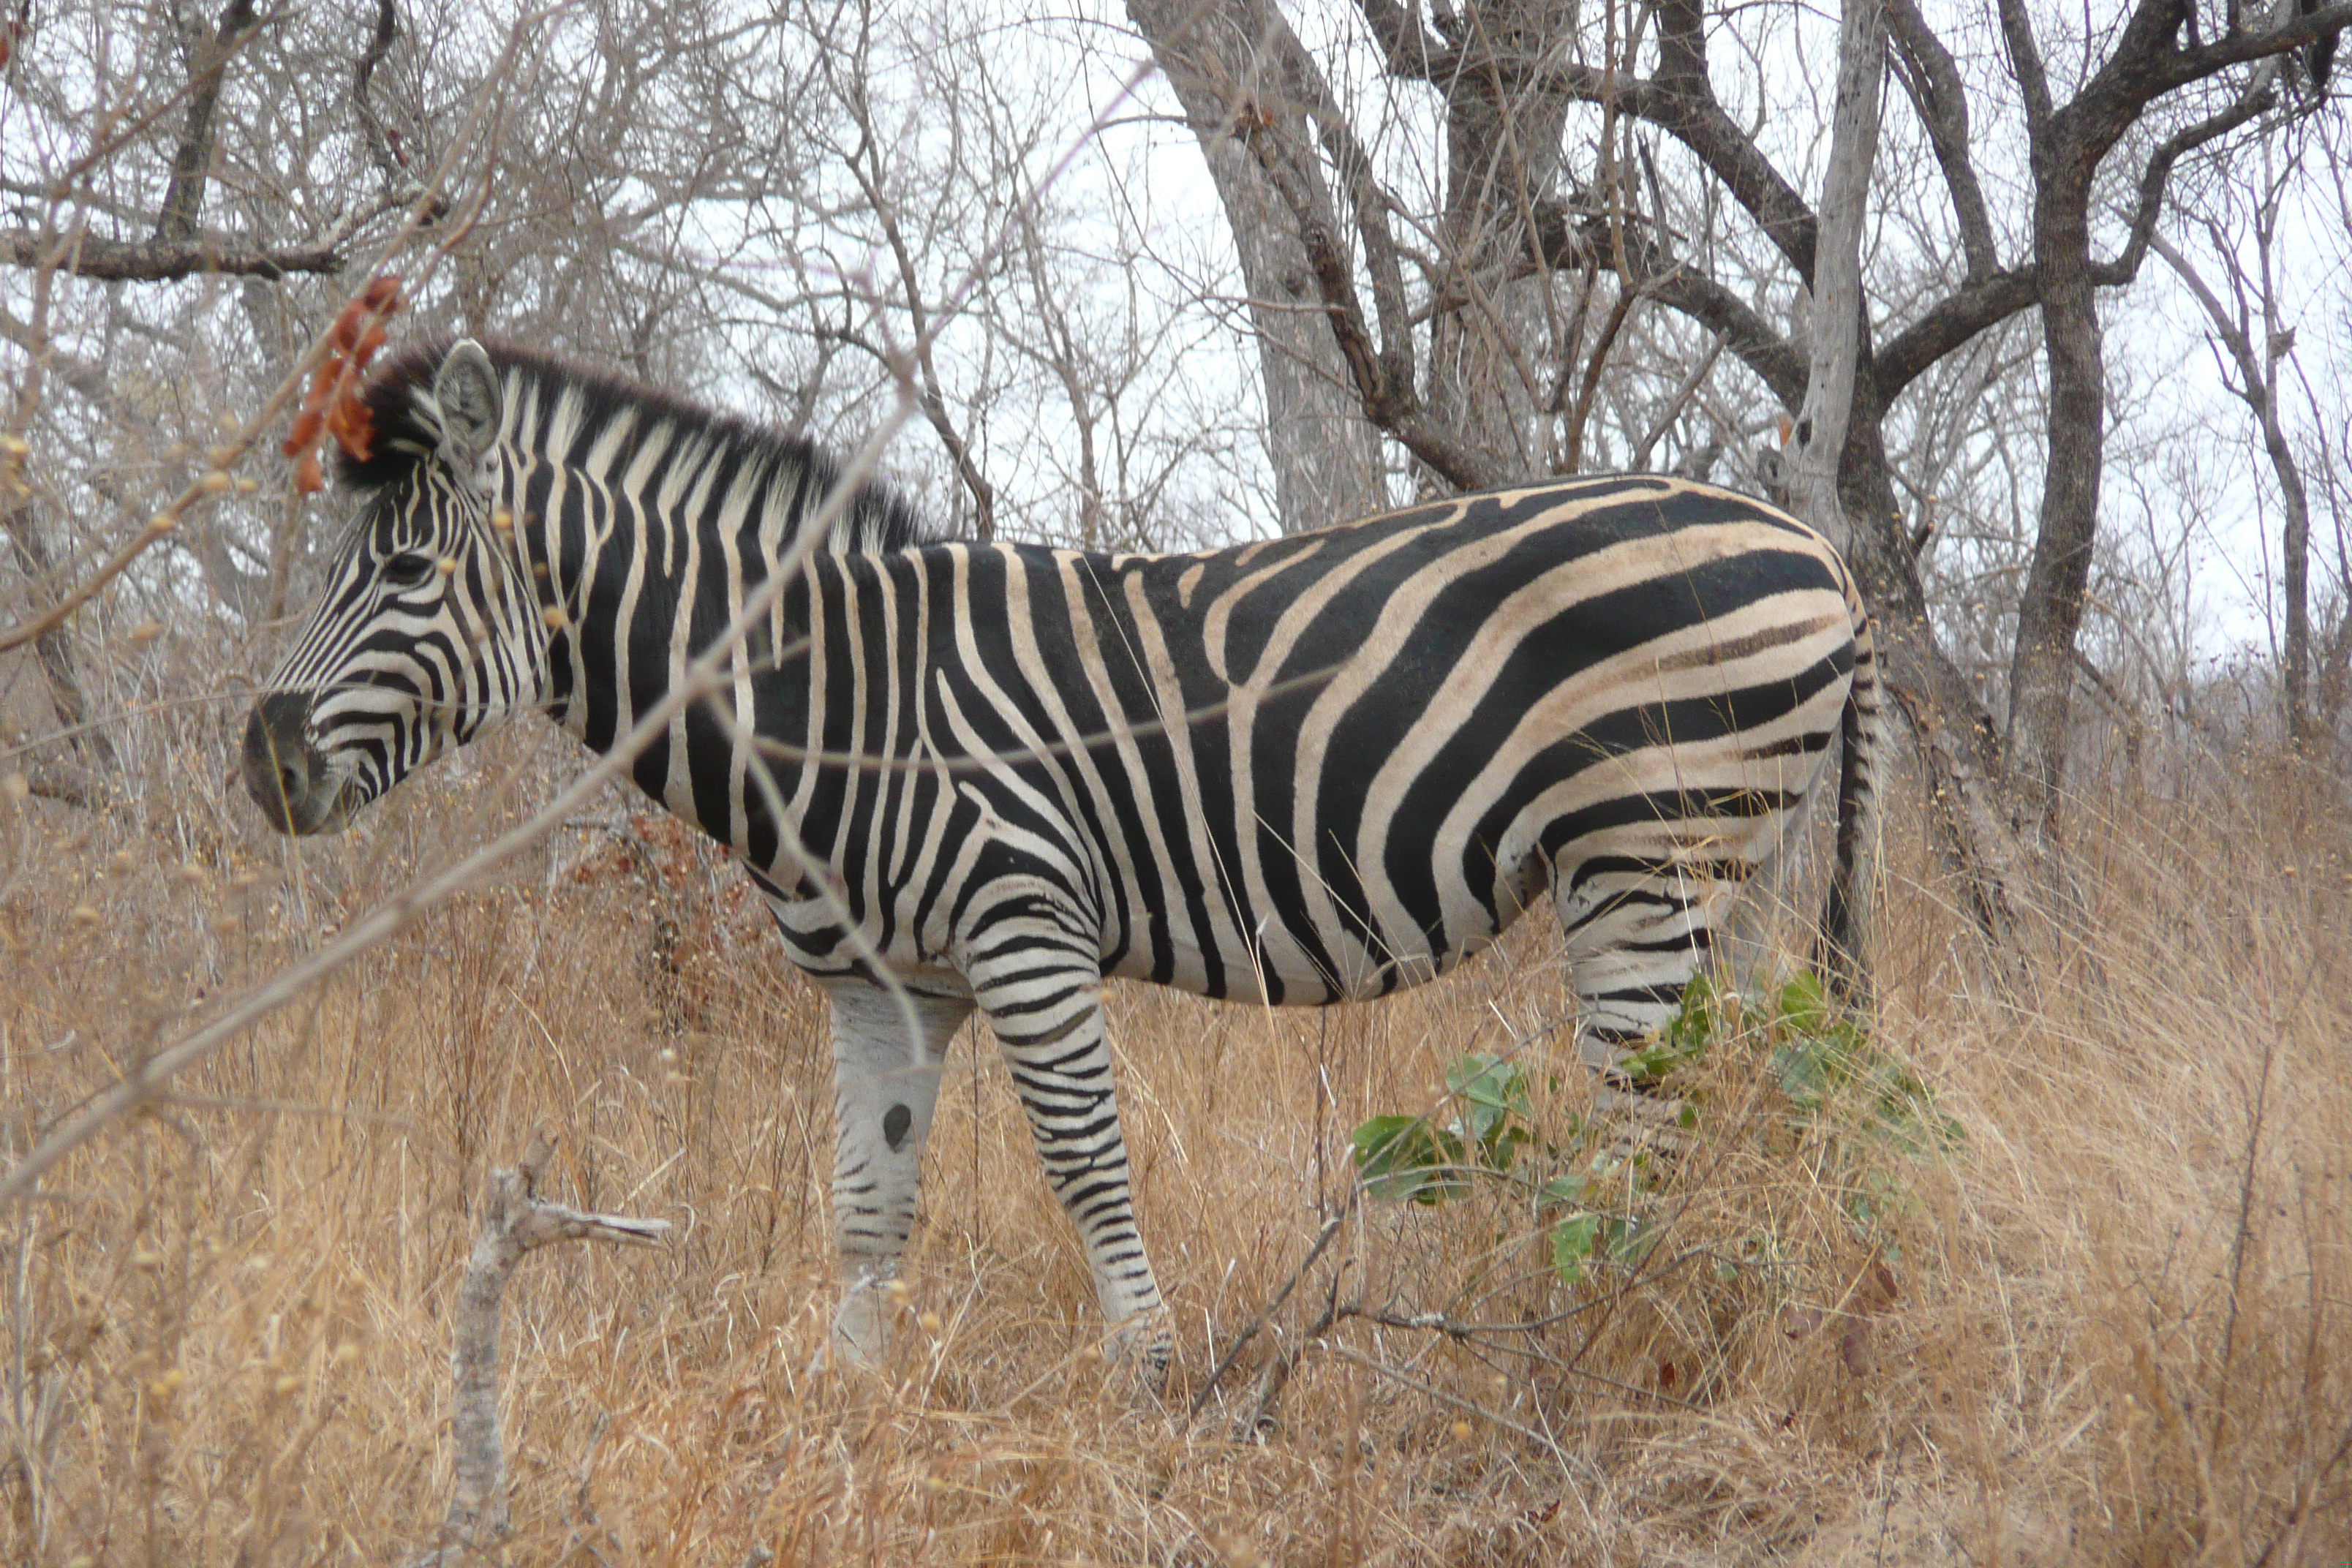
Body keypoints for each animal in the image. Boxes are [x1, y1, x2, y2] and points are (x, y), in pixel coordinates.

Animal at [248, 338, 1881, 1382]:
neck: (839, 706)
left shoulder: (1021, 921)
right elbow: (867, 1205)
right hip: (1717, 876)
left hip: (1650, 851)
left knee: (1652, 1131)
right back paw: (1658, 1326)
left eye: (403, 571)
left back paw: (1589, 1341)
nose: (259, 758)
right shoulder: (884, 987)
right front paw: (844, 1406)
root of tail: (1820, 551)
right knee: (1725, 1114)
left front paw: (1154, 1383)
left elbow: (1088, 1162)